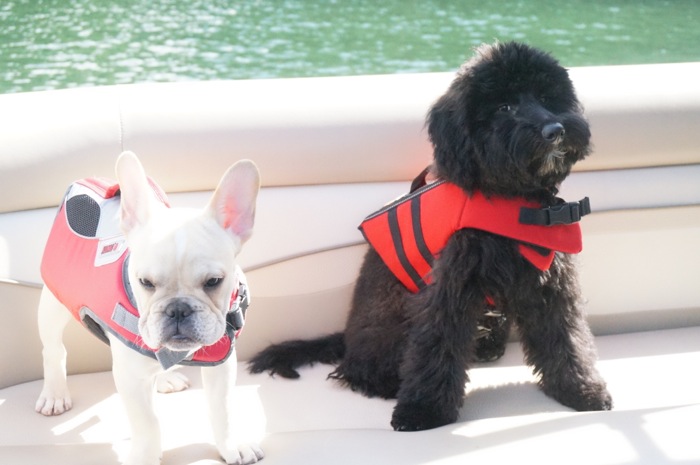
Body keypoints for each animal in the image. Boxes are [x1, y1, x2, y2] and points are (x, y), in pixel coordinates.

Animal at [252, 41, 612, 430]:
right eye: (504, 107)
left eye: (547, 98)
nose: (554, 129)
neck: (510, 200)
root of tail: (347, 339)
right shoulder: (448, 289)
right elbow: (438, 346)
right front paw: (424, 410)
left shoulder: (550, 283)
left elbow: (567, 338)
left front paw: (581, 390)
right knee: (358, 371)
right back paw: (386, 383)